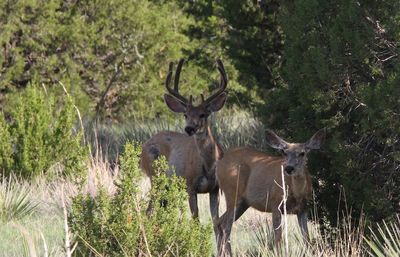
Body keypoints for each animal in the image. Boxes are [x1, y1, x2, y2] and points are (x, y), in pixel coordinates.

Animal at [141, 58, 228, 224]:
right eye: (185, 115)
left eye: (203, 114)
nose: (189, 128)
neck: (208, 165)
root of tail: (144, 146)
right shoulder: (190, 185)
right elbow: (195, 220)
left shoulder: (215, 189)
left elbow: (216, 222)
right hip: (155, 176)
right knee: (148, 211)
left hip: (166, 186)